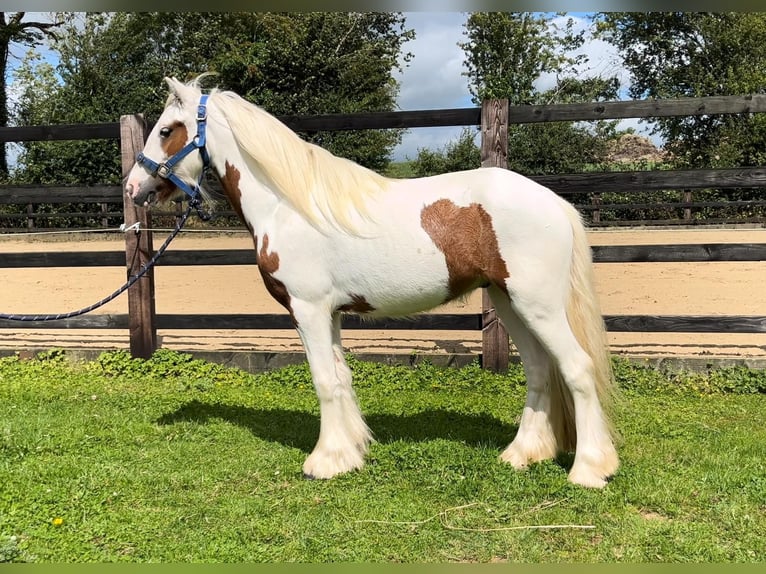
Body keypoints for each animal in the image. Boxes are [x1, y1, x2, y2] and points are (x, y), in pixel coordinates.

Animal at [123, 76, 620, 490]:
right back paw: (522, 455)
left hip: (538, 305)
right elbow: (341, 377)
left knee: (577, 368)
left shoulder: (307, 309)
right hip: (509, 303)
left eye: (167, 129)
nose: (132, 188)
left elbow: (324, 380)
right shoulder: (330, 314)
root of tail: (553, 202)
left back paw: (589, 470)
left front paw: (323, 462)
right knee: (539, 371)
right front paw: (349, 453)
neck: (288, 206)